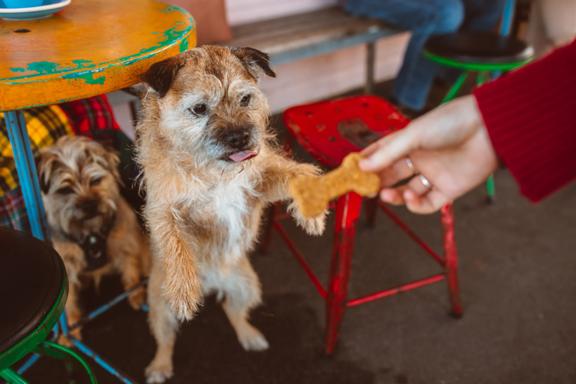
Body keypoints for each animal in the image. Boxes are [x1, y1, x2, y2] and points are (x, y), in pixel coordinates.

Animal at [37, 136, 151, 340]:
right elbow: (68, 301)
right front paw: (69, 330)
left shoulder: (126, 243)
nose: (89, 204)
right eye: (65, 190)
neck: (90, 231)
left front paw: (136, 294)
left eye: (96, 180)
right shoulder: (68, 266)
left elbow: (130, 271)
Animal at [134, 46, 324, 382]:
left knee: (233, 312)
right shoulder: (162, 207)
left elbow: (296, 173)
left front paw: (311, 210)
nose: (239, 138)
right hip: (158, 306)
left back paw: (250, 335)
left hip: (247, 287)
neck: (214, 171)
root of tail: (213, 284)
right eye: (199, 108)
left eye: (245, 99)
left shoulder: (259, 182)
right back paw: (160, 365)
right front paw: (184, 289)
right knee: (165, 339)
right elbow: (172, 237)